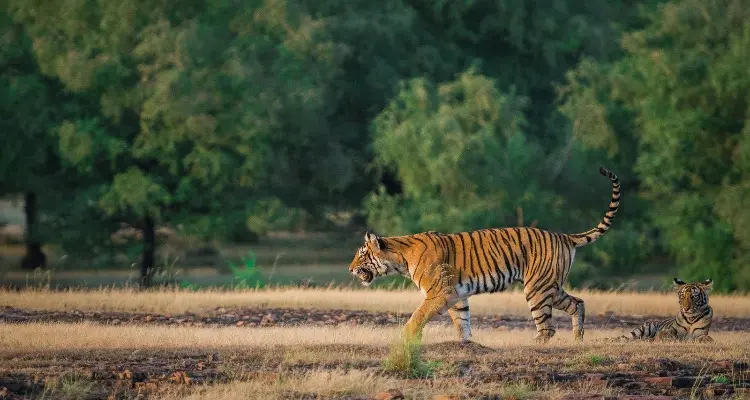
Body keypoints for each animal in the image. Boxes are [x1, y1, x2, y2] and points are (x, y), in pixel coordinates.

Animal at [349, 166, 621, 344]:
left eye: (361, 255)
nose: (350, 269)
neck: (401, 259)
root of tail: (564, 236)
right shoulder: (456, 294)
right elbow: (462, 321)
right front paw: (467, 344)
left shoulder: (438, 293)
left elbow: (418, 316)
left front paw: (405, 338)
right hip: (551, 286)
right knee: (578, 303)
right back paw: (577, 339)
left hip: (537, 288)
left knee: (547, 327)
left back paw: (535, 344)